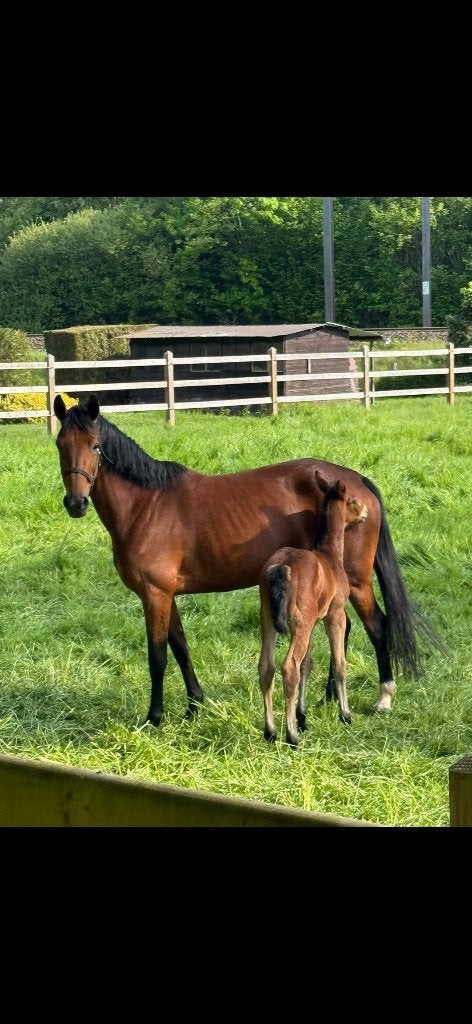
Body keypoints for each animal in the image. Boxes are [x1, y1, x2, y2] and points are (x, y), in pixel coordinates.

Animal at [258, 471, 368, 747]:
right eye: (352, 498)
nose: (364, 512)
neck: (329, 555)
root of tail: (280, 568)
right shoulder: (334, 615)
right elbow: (339, 663)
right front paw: (345, 714)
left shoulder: (314, 621)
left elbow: (307, 664)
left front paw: (302, 716)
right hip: (300, 623)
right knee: (288, 668)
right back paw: (292, 736)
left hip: (269, 619)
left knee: (266, 666)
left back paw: (271, 731)